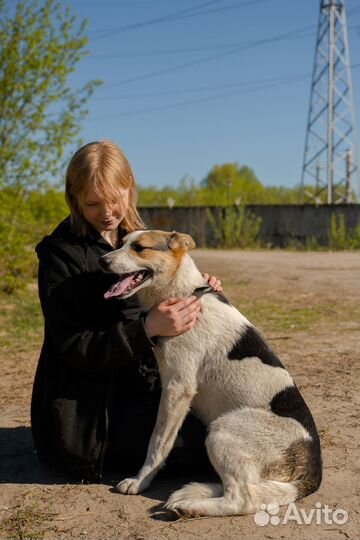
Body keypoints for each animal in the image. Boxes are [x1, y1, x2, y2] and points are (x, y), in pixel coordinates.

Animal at [100, 230, 322, 516]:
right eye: (121, 244)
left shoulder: (177, 388)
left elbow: (158, 443)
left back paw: (190, 507)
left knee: (243, 499)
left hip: (221, 431)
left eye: (139, 248)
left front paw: (140, 481)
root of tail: (314, 471)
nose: (102, 261)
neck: (183, 292)